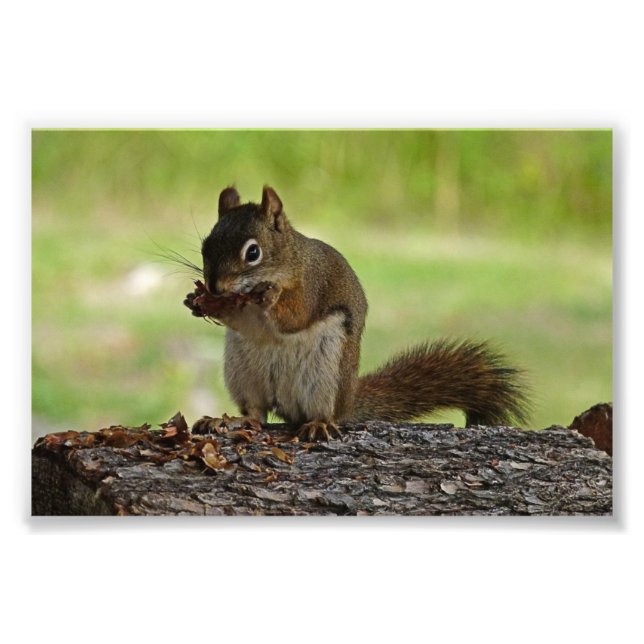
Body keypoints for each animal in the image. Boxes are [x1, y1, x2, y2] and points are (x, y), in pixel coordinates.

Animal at [184, 185, 530, 441]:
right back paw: (231, 420)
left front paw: (269, 297)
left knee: (323, 412)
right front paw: (195, 301)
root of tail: (349, 400)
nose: (214, 286)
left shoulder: (313, 285)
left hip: (327, 374)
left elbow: (295, 316)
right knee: (255, 413)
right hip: (243, 372)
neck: (288, 262)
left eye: (253, 252)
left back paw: (318, 423)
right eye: (205, 247)